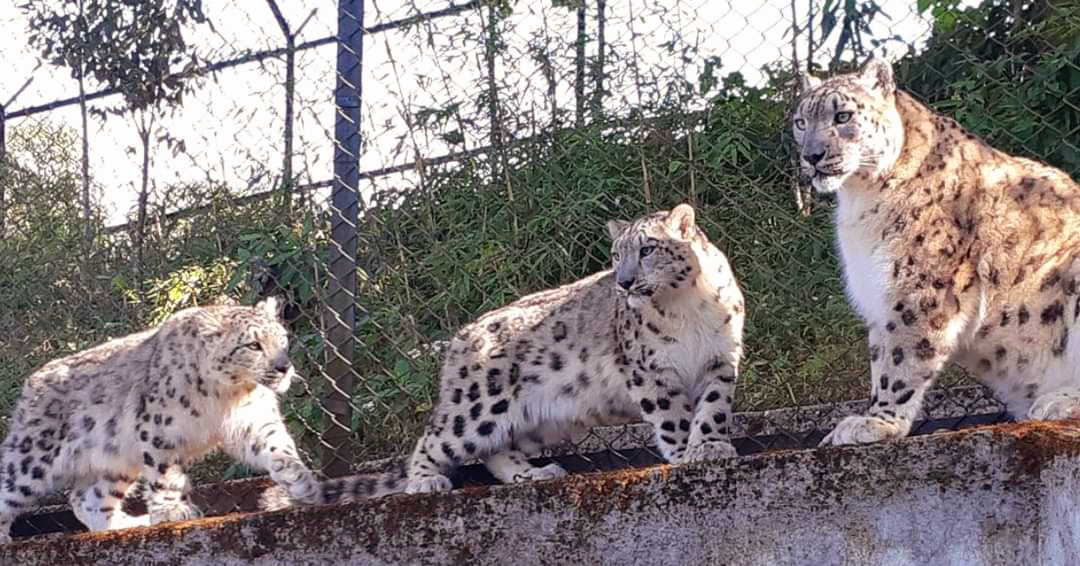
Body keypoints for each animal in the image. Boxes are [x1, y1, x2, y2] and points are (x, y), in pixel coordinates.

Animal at [0, 297, 319, 543]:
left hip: (116, 461)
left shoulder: (255, 421)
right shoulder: (161, 428)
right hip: (33, 457)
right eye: (253, 345)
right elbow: (167, 473)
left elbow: (278, 447)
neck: (230, 395)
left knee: (88, 498)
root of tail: (31, 383)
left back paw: (126, 524)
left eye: (282, 339)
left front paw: (302, 481)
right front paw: (172, 510)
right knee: (10, 486)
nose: (284, 367)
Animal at [264, 204, 746, 506]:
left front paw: (711, 446)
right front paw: (684, 453)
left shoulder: (720, 361)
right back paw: (426, 481)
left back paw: (534, 473)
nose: (625, 281)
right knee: (434, 439)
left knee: (498, 450)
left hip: (543, 418)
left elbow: (712, 408)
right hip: (478, 407)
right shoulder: (651, 370)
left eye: (647, 249)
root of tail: (461, 337)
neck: (687, 308)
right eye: (616, 254)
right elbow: (672, 416)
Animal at [792, 57, 1080, 446]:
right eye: (800, 122)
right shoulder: (880, 294)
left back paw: (1056, 401)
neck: (858, 202)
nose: (812, 155)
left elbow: (901, 360)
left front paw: (878, 422)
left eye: (843, 116)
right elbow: (881, 356)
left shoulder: (919, 288)